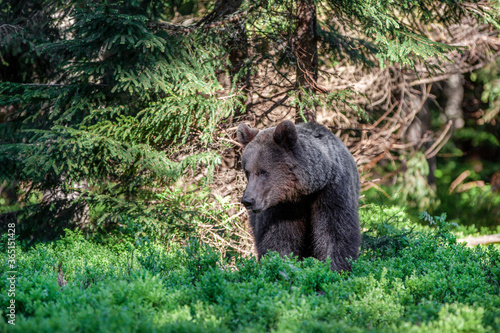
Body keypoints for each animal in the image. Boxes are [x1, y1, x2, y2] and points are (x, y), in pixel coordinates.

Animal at [238, 119, 360, 270]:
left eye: (263, 172)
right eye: (247, 171)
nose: (248, 200)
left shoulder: (332, 192)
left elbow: (336, 233)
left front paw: (336, 267)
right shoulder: (281, 209)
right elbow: (278, 239)